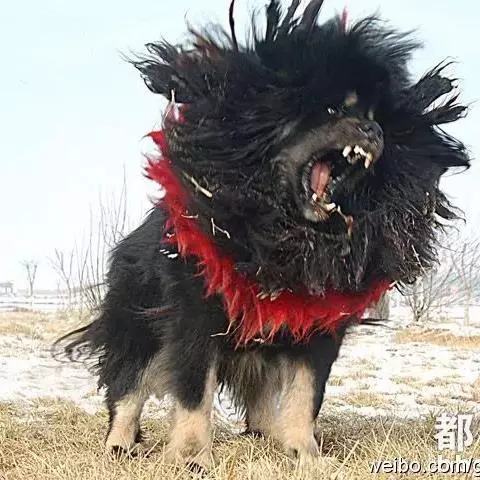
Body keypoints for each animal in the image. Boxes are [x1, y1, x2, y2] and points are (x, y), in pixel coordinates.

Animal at [58, 0, 470, 468]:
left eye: (374, 117)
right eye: (332, 111)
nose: (374, 130)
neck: (283, 238)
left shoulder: (317, 330)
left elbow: (305, 396)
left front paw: (304, 454)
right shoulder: (195, 318)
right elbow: (193, 393)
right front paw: (192, 457)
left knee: (260, 400)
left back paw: (267, 436)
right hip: (139, 328)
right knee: (127, 389)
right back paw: (119, 445)